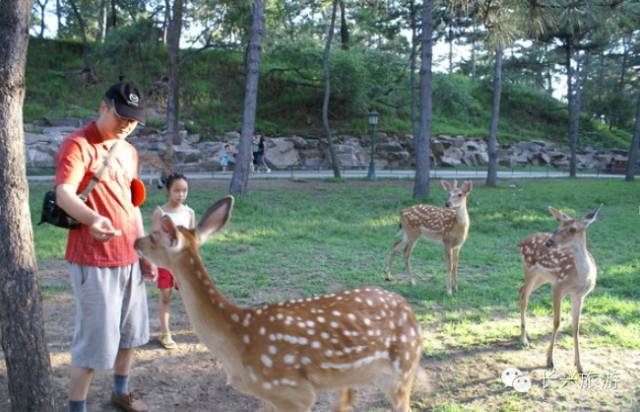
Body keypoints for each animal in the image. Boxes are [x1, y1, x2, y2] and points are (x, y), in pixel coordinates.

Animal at [134, 197, 424, 412]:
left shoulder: (291, 391)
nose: (136, 241)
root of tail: (410, 312)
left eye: (155, 235)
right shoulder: (268, 395)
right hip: (355, 375)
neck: (234, 340)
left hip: (402, 368)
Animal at [516, 206, 604, 374]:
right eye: (559, 224)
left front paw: (580, 367)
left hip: (542, 277)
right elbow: (556, 322)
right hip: (530, 269)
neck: (580, 278)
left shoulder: (579, 295)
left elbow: (576, 327)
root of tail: (521, 242)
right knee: (524, 295)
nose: (550, 242)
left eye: (573, 229)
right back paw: (524, 339)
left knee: (521, 290)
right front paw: (549, 360)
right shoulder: (557, 287)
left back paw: (527, 333)